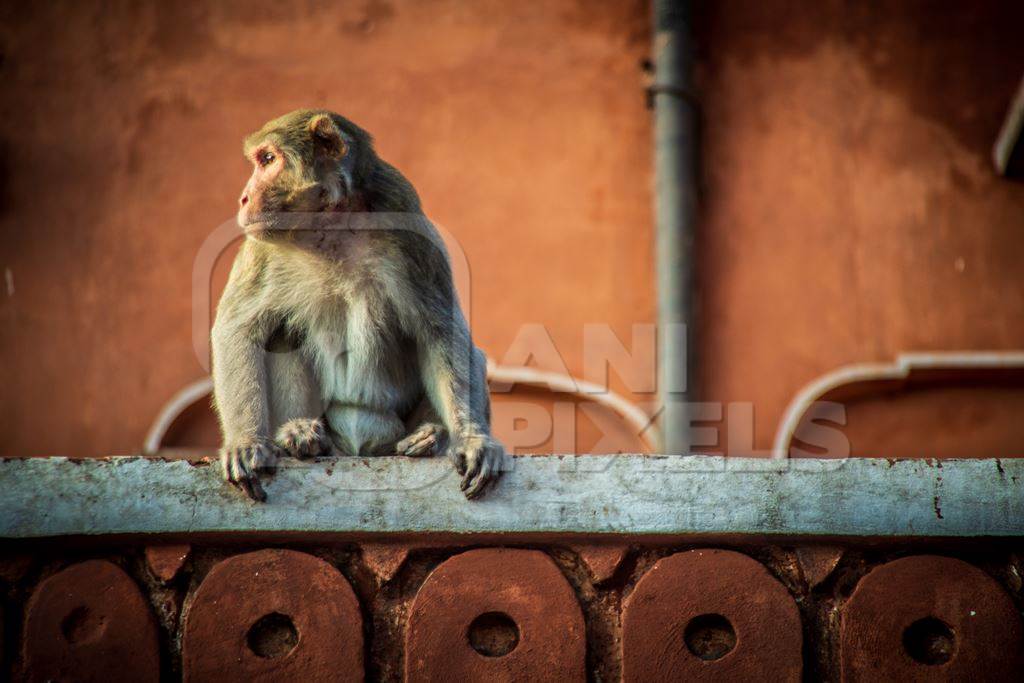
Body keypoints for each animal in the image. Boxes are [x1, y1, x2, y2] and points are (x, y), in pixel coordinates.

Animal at [212, 108, 503, 501]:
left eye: (269, 160)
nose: (243, 198)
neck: (331, 228)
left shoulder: (409, 226)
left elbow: (442, 335)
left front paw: (472, 440)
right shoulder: (261, 245)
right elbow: (238, 330)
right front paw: (245, 442)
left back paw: (429, 437)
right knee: (280, 334)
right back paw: (301, 436)